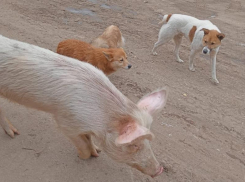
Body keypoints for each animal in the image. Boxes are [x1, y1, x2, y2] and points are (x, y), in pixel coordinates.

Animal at [0, 34, 167, 178]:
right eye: (135, 145)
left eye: (149, 142)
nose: (159, 169)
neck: (100, 117)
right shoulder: (65, 121)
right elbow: (83, 145)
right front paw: (84, 155)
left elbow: (89, 139)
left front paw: (97, 151)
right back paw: (14, 133)